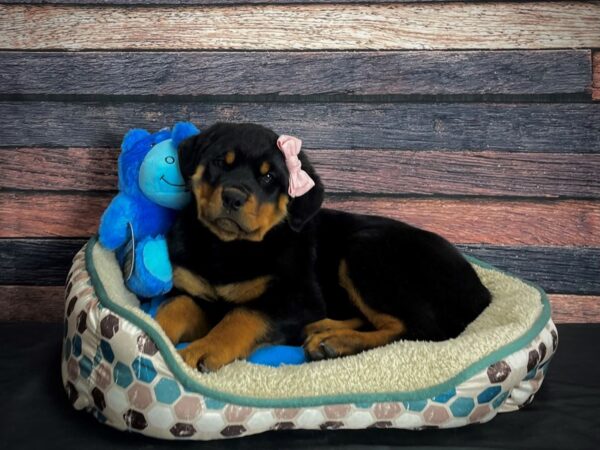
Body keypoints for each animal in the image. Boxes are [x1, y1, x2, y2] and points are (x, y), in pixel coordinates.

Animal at [156, 121, 492, 370]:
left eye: (269, 177)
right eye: (218, 163)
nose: (233, 197)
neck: (225, 246)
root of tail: (482, 292)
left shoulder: (296, 298)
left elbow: (241, 316)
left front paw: (205, 348)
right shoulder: (191, 290)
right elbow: (172, 309)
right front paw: (150, 339)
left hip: (365, 250)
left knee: (417, 330)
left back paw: (335, 342)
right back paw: (323, 329)